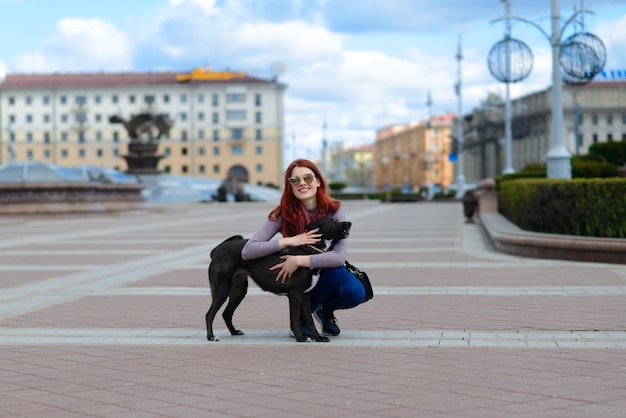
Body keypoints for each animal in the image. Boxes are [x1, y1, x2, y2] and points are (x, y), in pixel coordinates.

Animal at [206, 217, 348, 342]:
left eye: (336, 219)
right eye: (330, 221)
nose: (349, 223)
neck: (309, 251)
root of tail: (216, 250)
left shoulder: (305, 296)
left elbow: (309, 319)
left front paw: (318, 338)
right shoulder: (296, 294)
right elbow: (294, 318)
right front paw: (300, 338)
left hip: (239, 291)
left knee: (226, 313)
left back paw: (234, 332)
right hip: (222, 290)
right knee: (209, 314)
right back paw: (211, 337)